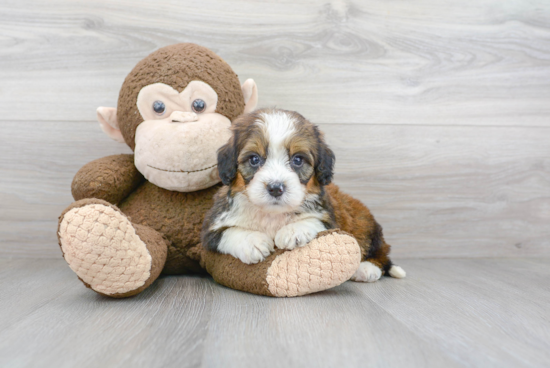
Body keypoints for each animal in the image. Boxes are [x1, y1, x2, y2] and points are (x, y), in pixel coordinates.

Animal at [202, 108, 406, 284]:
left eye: (298, 160)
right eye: (254, 159)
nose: (275, 188)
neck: (272, 214)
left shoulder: (328, 217)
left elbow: (313, 221)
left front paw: (293, 231)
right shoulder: (211, 229)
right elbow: (227, 232)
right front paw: (253, 242)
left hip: (366, 225)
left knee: (381, 253)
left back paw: (367, 268)